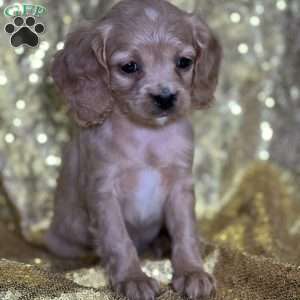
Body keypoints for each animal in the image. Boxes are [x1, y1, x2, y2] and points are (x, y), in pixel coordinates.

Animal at [45, 1, 221, 298]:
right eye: (129, 66)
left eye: (183, 62)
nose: (165, 98)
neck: (147, 135)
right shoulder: (103, 192)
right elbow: (118, 240)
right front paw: (132, 278)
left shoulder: (180, 186)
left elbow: (186, 232)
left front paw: (191, 271)